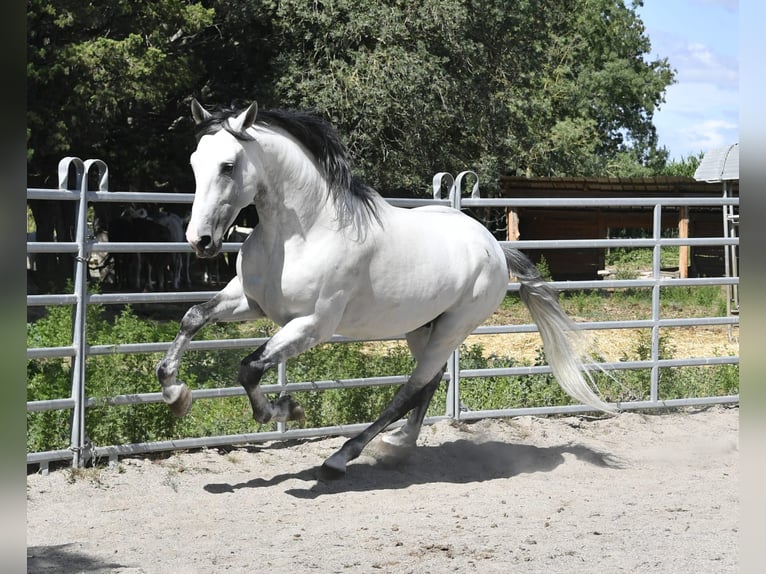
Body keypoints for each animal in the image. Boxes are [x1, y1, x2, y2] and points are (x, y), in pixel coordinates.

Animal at [158, 101, 616, 480]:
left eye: (228, 165)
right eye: (195, 162)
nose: (200, 241)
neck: (301, 233)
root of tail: (494, 247)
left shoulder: (311, 325)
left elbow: (249, 369)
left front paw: (286, 409)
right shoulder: (250, 303)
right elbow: (192, 318)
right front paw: (176, 394)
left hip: (454, 327)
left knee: (411, 389)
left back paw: (343, 457)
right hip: (421, 326)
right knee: (428, 384)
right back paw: (398, 446)